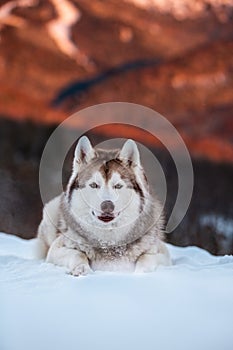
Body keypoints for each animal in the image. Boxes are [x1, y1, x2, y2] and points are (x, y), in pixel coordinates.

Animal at [36, 135, 171, 274]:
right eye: (94, 185)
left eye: (118, 186)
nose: (107, 206)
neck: (108, 242)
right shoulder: (56, 249)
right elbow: (78, 254)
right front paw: (82, 269)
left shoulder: (163, 254)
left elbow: (145, 258)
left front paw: (140, 273)